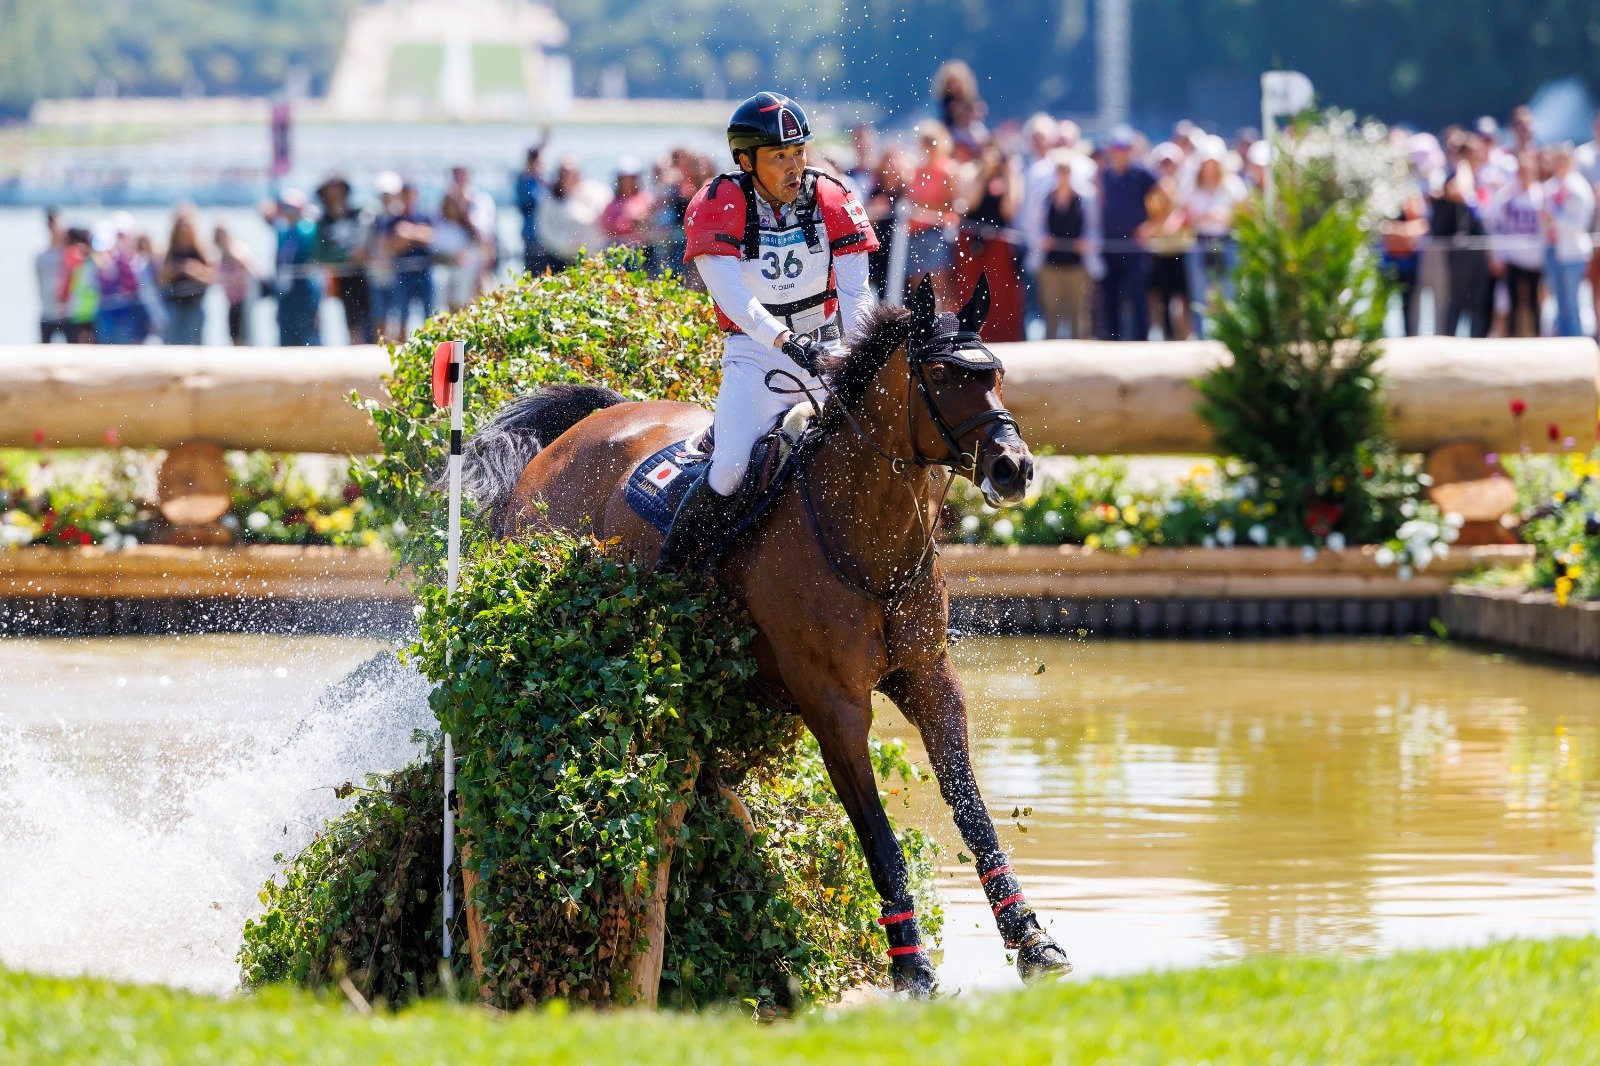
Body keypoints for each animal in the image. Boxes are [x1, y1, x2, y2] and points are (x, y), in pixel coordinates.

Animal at [457, 275, 1068, 985]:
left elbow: (972, 809)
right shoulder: (834, 706)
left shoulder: (930, 681)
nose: (1013, 469)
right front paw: (911, 967)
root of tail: (578, 430)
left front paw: (1030, 937)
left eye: (996, 375)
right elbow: (878, 836)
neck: (867, 542)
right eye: (941, 374)